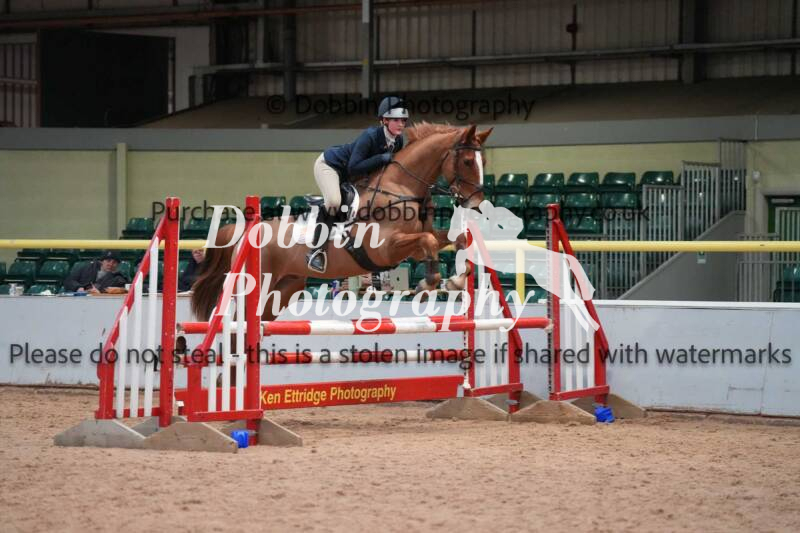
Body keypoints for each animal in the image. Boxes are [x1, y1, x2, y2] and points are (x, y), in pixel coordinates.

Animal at [191, 122, 493, 324]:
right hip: (258, 284)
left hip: (285, 289)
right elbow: (429, 241)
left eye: (484, 162)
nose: (477, 204)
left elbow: (454, 240)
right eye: (468, 161)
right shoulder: (384, 249)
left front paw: (455, 281)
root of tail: (245, 233)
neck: (400, 188)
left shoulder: (416, 247)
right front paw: (426, 285)